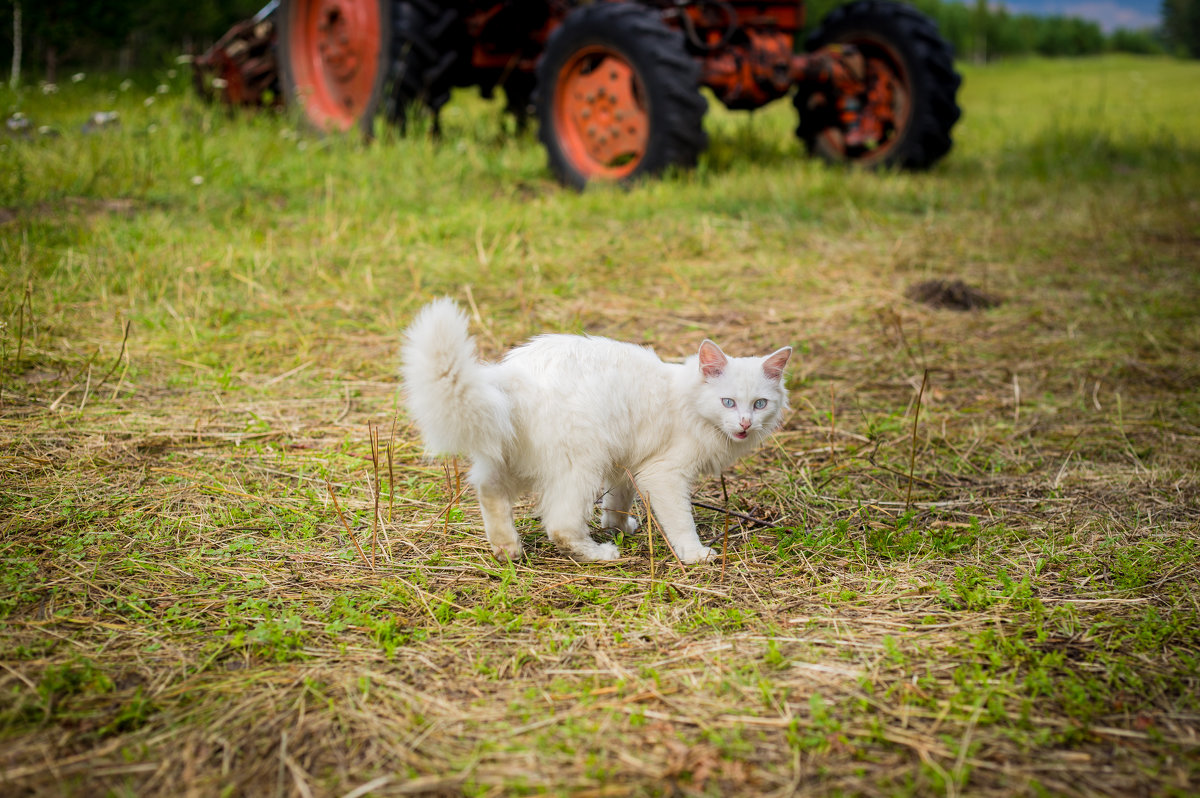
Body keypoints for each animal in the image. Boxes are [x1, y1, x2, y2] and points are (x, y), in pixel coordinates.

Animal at [403, 295, 792, 564]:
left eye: (760, 404)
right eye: (728, 402)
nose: (745, 423)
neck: (686, 398)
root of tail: (511, 376)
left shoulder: (626, 465)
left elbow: (617, 501)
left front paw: (618, 528)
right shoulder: (663, 473)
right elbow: (681, 521)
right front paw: (694, 554)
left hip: (511, 458)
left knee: (488, 490)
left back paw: (508, 549)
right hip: (581, 463)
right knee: (560, 525)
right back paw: (598, 554)